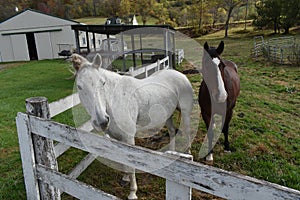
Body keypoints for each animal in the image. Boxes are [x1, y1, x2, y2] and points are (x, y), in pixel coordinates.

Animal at [72, 53, 195, 200]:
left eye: (102, 83)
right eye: (79, 86)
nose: (102, 121)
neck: (114, 100)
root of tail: (180, 75)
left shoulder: (129, 138)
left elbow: (131, 164)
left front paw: (132, 193)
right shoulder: (118, 138)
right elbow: (124, 160)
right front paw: (125, 178)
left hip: (186, 113)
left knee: (188, 132)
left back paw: (187, 154)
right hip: (167, 116)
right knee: (171, 132)